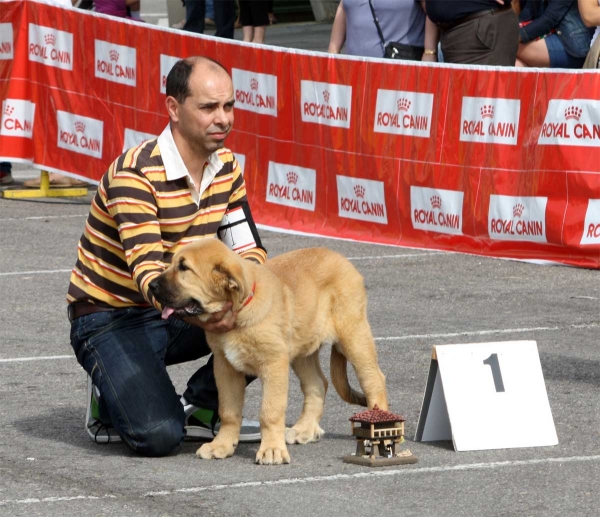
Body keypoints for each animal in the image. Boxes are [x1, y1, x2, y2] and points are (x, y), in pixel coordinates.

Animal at [149, 238, 390, 464]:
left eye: (184, 268)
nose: (151, 285)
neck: (241, 310)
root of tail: (341, 259)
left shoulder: (273, 364)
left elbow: (270, 411)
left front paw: (272, 450)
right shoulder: (225, 366)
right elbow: (228, 410)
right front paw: (222, 445)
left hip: (353, 335)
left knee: (373, 379)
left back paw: (377, 430)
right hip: (302, 350)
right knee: (317, 384)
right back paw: (304, 429)